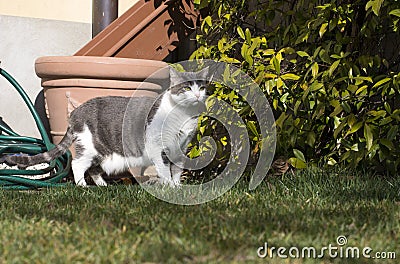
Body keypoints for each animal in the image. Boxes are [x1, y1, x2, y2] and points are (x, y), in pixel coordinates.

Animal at [3, 66, 209, 186]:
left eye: (201, 87)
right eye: (187, 88)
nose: (197, 95)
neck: (183, 116)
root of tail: (76, 113)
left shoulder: (181, 147)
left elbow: (177, 170)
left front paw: (177, 187)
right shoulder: (159, 147)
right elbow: (165, 169)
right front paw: (169, 188)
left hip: (102, 153)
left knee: (93, 169)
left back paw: (102, 185)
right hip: (91, 147)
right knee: (78, 164)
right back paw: (82, 186)